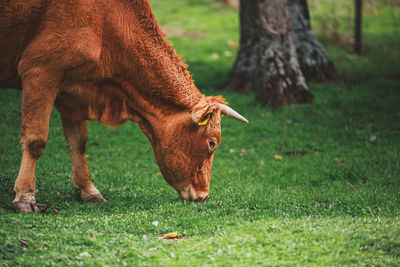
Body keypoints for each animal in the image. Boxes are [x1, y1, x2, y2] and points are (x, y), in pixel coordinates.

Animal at [0, 0, 247, 214]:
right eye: (212, 143)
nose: (203, 195)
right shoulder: (40, 71)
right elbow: (36, 140)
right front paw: (25, 196)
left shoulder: (72, 91)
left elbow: (78, 143)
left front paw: (88, 189)